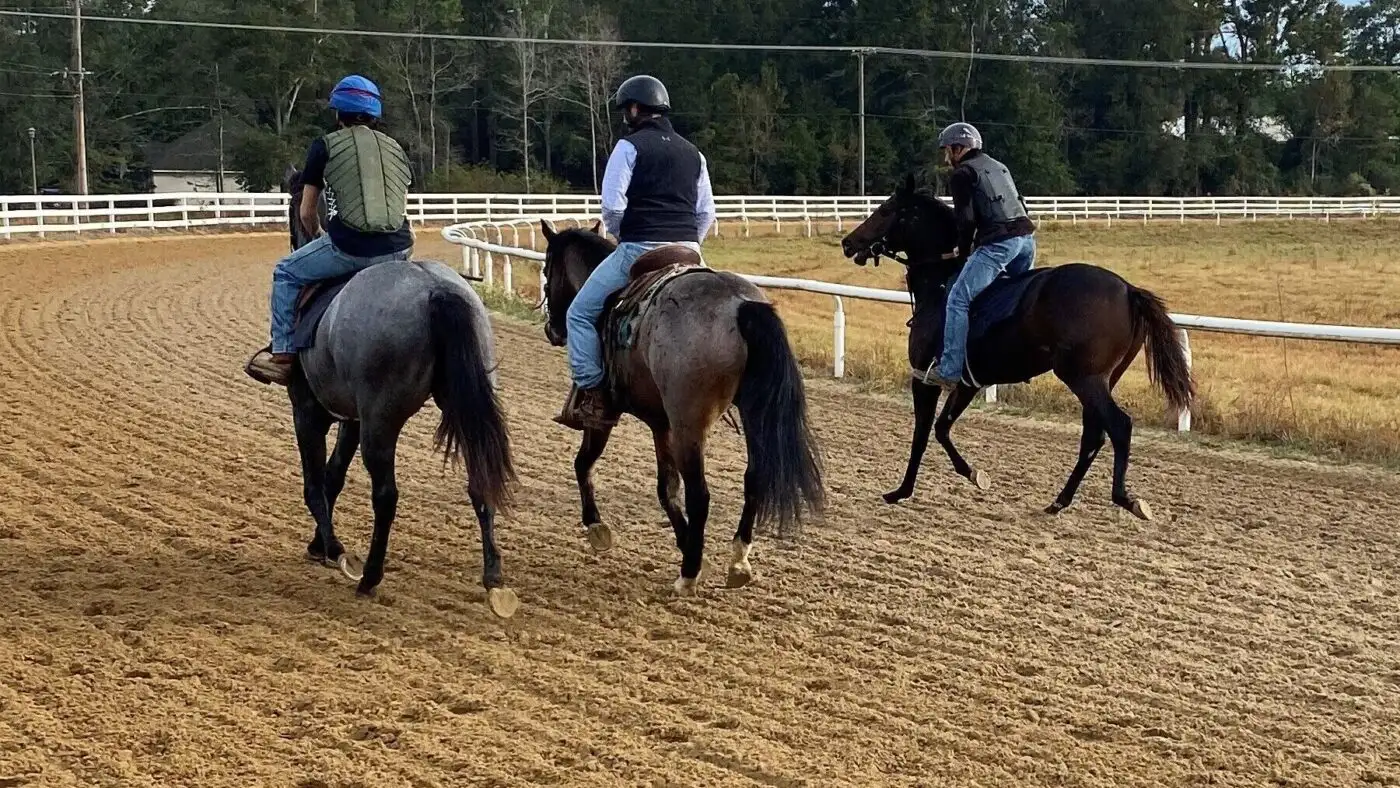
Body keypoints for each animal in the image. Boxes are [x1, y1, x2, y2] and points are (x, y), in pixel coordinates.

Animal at [254, 166, 519, 616]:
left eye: (291, 204)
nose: (293, 236)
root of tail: (435, 290)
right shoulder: (352, 417)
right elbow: (333, 476)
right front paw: (319, 545)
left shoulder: (308, 411)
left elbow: (315, 482)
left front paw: (332, 548)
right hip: (462, 404)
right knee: (478, 479)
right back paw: (493, 577)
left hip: (382, 422)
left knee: (386, 494)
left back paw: (370, 576)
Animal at [537, 220, 825, 596]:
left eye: (547, 270)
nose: (552, 329)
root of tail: (740, 305)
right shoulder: (661, 423)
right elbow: (667, 489)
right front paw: (688, 543)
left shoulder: (607, 417)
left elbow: (584, 463)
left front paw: (597, 527)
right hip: (751, 413)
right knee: (754, 477)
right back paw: (737, 560)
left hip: (690, 424)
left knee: (700, 494)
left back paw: (688, 575)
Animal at [839, 173, 1195, 520]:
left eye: (885, 209)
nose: (848, 242)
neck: (940, 285)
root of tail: (1128, 290)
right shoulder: (969, 383)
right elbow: (941, 428)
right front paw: (974, 474)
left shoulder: (924, 379)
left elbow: (922, 435)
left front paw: (901, 491)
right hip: (1103, 378)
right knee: (1094, 434)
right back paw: (1059, 501)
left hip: (1083, 377)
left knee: (1118, 426)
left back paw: (1126, 499)